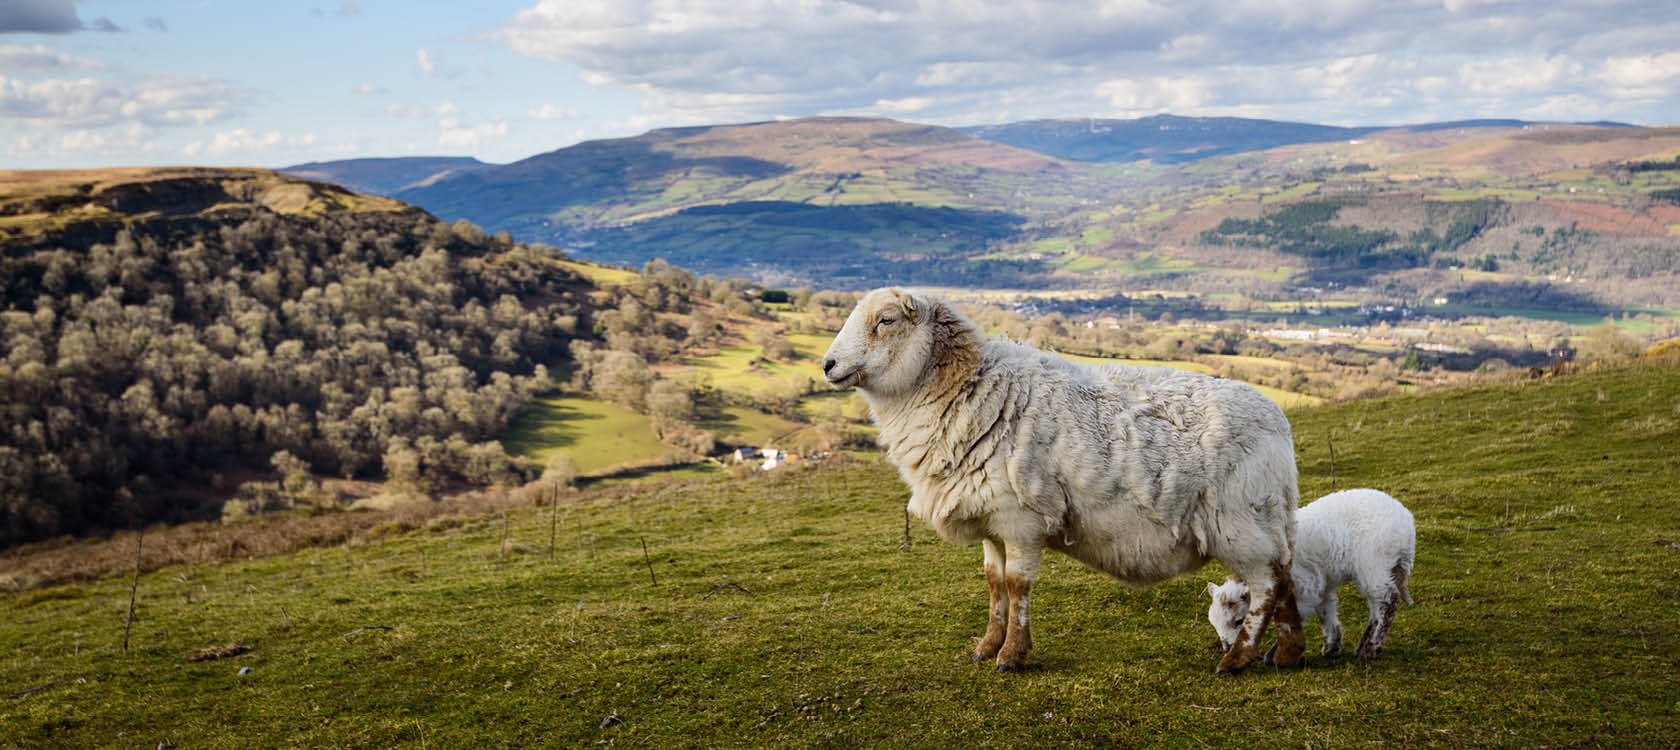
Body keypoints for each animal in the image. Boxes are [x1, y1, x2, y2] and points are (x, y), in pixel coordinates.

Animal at [826, 287, 1310, 672]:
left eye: (886, 321)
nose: (828, 364)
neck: (971, 390)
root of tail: (1278, 421)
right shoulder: (992, 521)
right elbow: (993, 584)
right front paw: (986, 646)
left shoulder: (1021, 519)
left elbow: (1017, 586)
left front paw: (1012, 656)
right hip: (1268, 520)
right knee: (1286, 576)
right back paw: (1287, 654)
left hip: (1239, 522)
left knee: (1266, 586)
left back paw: (1238, 659)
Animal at [1209, 487, 1417, 659]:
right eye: (1214, 624)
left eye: (1239, 621)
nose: (1227, 649)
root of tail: (1407, 525)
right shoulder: (1320, 584)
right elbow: (1325, 611)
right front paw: (1332, 645)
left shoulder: (1305, 586)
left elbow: (1295, 617)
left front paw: (1276, 653)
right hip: (1383, 568)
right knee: (1376, 607)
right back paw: (1363, 647)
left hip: (1374, 564)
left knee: (1387, 602)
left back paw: (1373, 648)